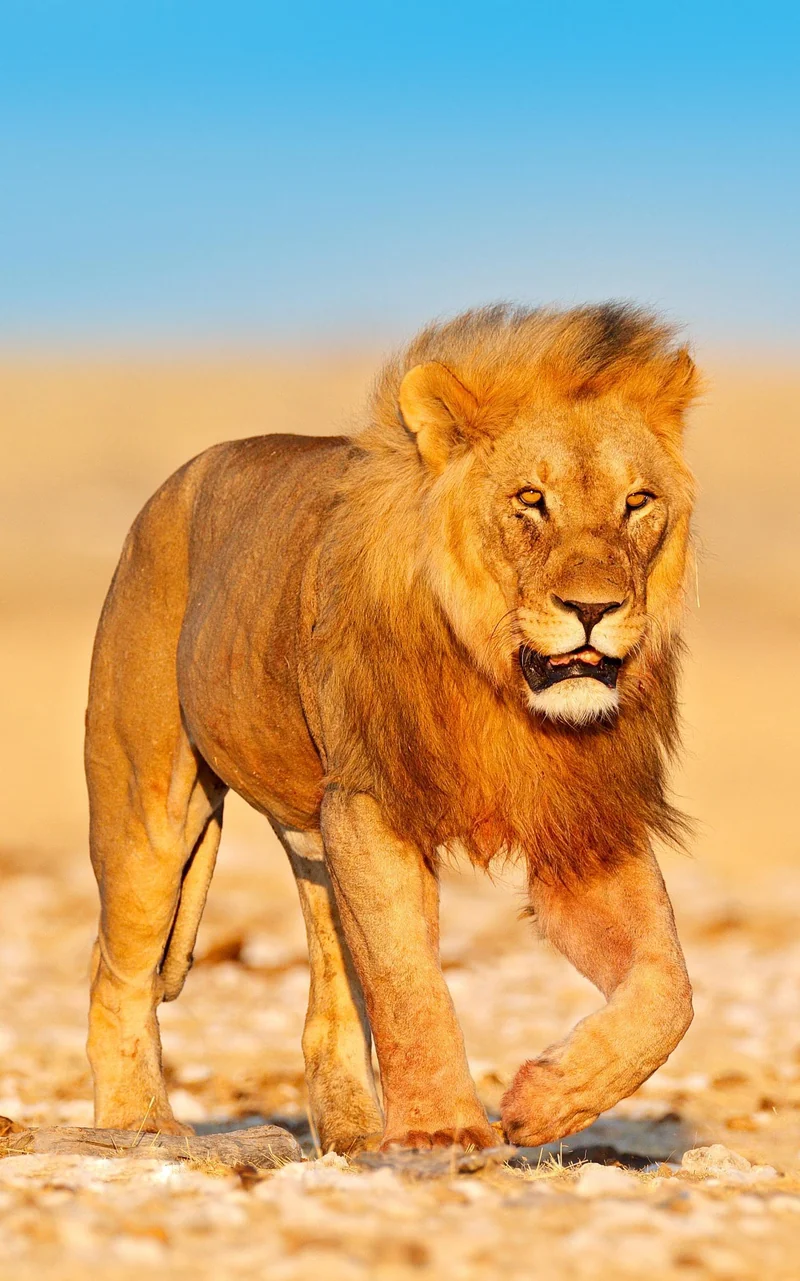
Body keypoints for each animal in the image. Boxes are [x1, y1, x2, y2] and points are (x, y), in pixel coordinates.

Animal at [86, 303, 700, 1153]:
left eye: (637, 501)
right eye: (531, 499)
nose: (593, 608)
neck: (499, 685)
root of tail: (168, 490)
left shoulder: (584, 820)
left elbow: (668, 989)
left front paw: (546, 1100)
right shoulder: (372, 801)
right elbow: (409, 979)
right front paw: (443, 1130)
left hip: (314, 843)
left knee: (329, 999)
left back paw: (351, 1134)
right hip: (147, 811)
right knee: (116, 972)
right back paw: (140, 1124)